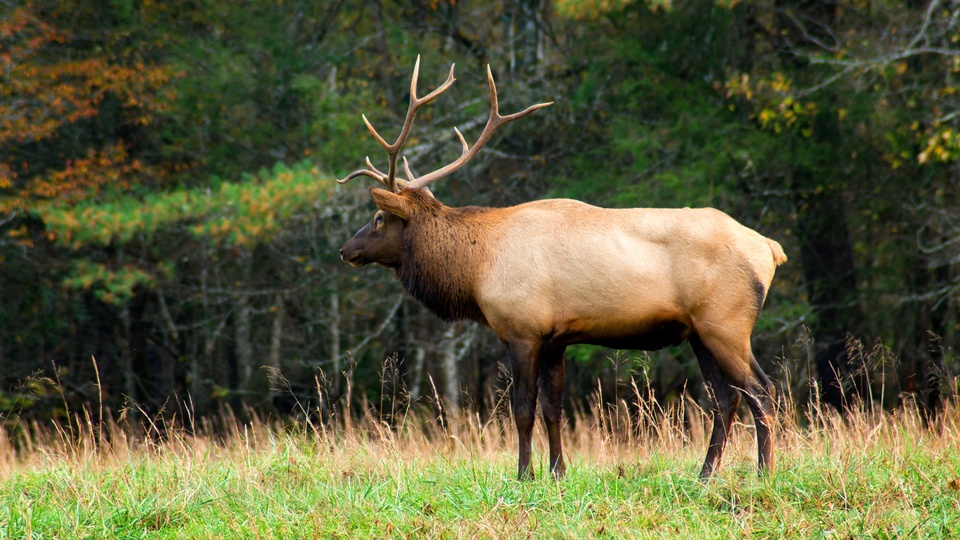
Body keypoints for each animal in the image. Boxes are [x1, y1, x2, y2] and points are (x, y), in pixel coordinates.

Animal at [338, 56, 788, 480]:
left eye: (378, 218)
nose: (346, 250)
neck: (476, 269)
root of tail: (770, 249)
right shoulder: (556, 338)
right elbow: (553, 409)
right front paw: (558, 471)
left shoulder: (522, 330)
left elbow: (523, 410)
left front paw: (524, 474)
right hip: (699, 332)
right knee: (726, 398)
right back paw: (705, 475)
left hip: (726, 324)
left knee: (762, 391)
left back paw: (764, 473)